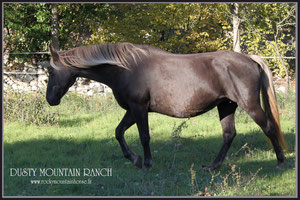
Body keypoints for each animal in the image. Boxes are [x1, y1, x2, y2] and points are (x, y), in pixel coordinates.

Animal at [45, 42, 288, 170]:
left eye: (50, 70)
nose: (50, 99)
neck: (125, 68)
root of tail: (249, 59)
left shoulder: (139, 108)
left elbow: (144, 136)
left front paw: (146, 162)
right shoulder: (132, 110)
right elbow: (118, 132)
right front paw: (134, 158)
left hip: (249, 105)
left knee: (268, 127)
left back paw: (280, 161)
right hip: (226, 106)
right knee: (229, 134)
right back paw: (213, 166)